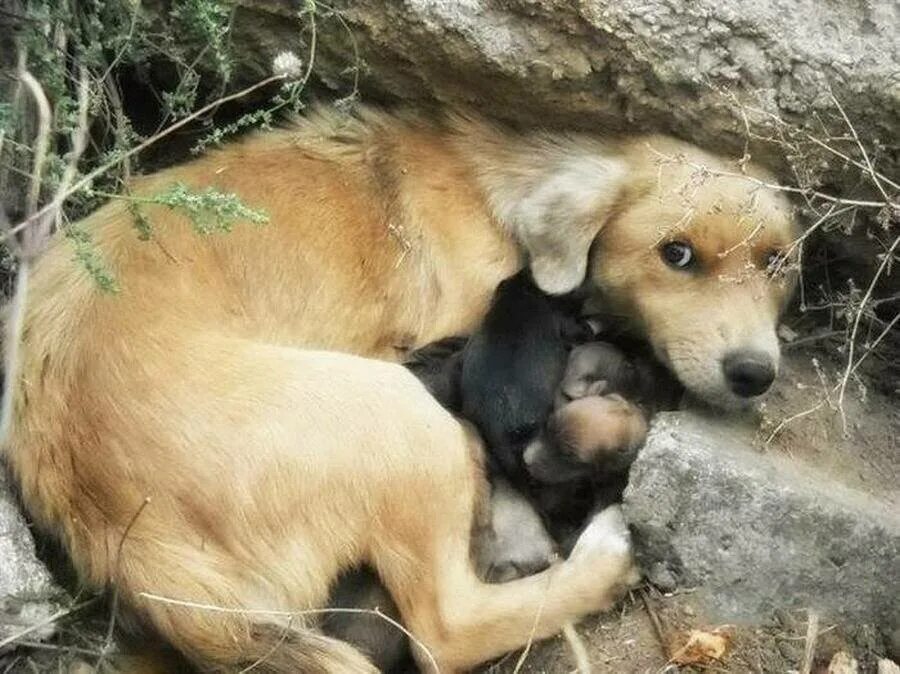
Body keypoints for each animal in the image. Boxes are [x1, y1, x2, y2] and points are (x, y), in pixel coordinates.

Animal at [1, 107, 796, 668]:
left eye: (778, 263)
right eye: (676, 254)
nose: (755, 373)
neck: (504, 192)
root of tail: (131, 545)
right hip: (399, 418)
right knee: (448, 630)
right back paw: (604, 555)